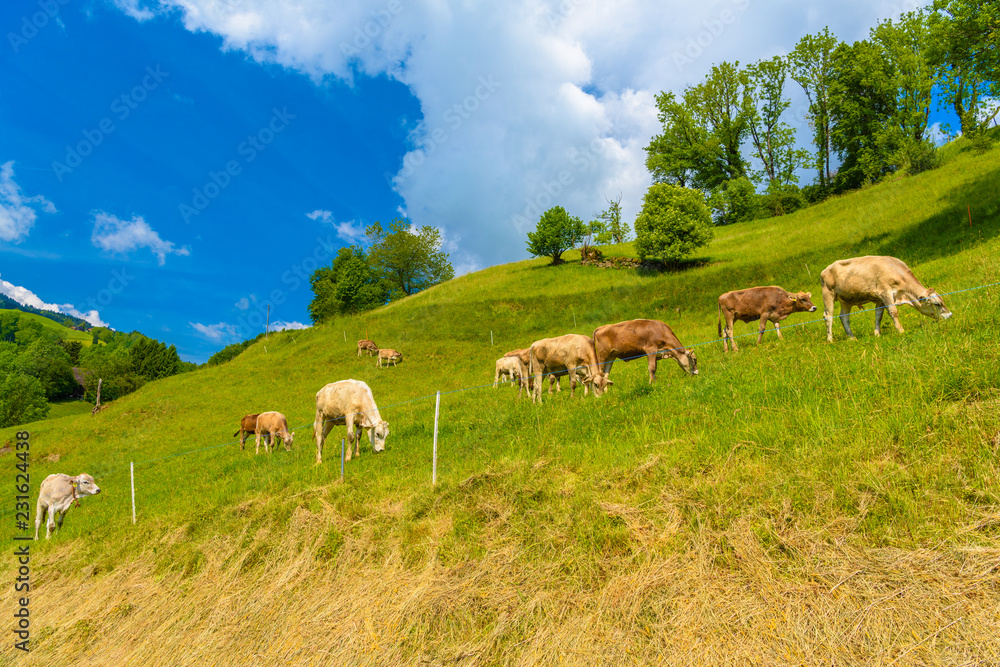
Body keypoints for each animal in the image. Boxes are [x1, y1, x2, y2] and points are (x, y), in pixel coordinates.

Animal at [820, 253, 952, 342]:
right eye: (937, 304)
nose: (950, 315)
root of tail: (826, 269)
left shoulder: (880, 299)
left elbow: (878, 316)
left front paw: (877, 334)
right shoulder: (885, 292)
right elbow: (893, 311)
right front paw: (900, 330)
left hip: (846, 300)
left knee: (844, 317)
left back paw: (852, 338)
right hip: (828, 294)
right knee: (828, 316)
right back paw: (830, 340)